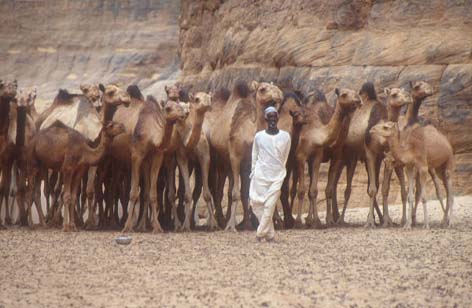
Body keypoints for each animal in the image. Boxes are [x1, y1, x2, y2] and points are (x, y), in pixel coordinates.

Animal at [294, 88, 360, 227]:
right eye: (344, 94)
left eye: (356, 92)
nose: (357, 100)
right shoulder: (301, 156)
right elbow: (303, 190)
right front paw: (300, 221)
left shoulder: (330, 157)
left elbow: (323, 190)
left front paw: (325, 220)